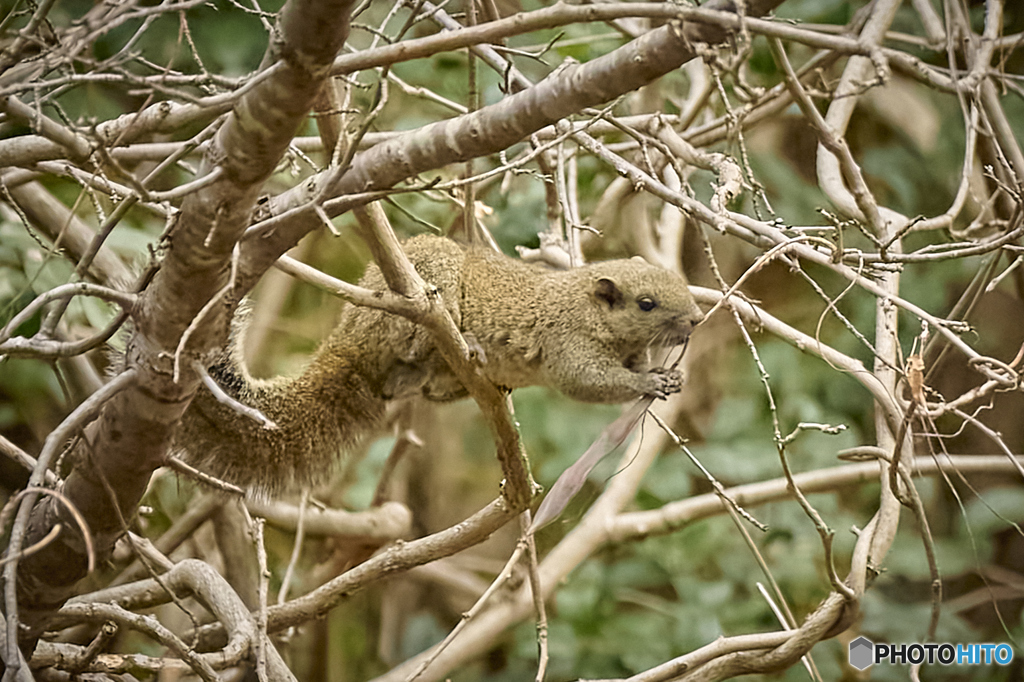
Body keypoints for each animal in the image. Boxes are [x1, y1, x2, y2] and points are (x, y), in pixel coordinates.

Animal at [176, 233, 704, 489]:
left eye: (678, 280)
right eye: (647, 304)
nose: (697, 319)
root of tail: (349, 339)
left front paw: (669, 374)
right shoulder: (566, 343)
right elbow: (588, 382)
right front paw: (650, 384)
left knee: (424, 387)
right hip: (425, 281)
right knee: (415, 337)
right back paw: (460, 341)